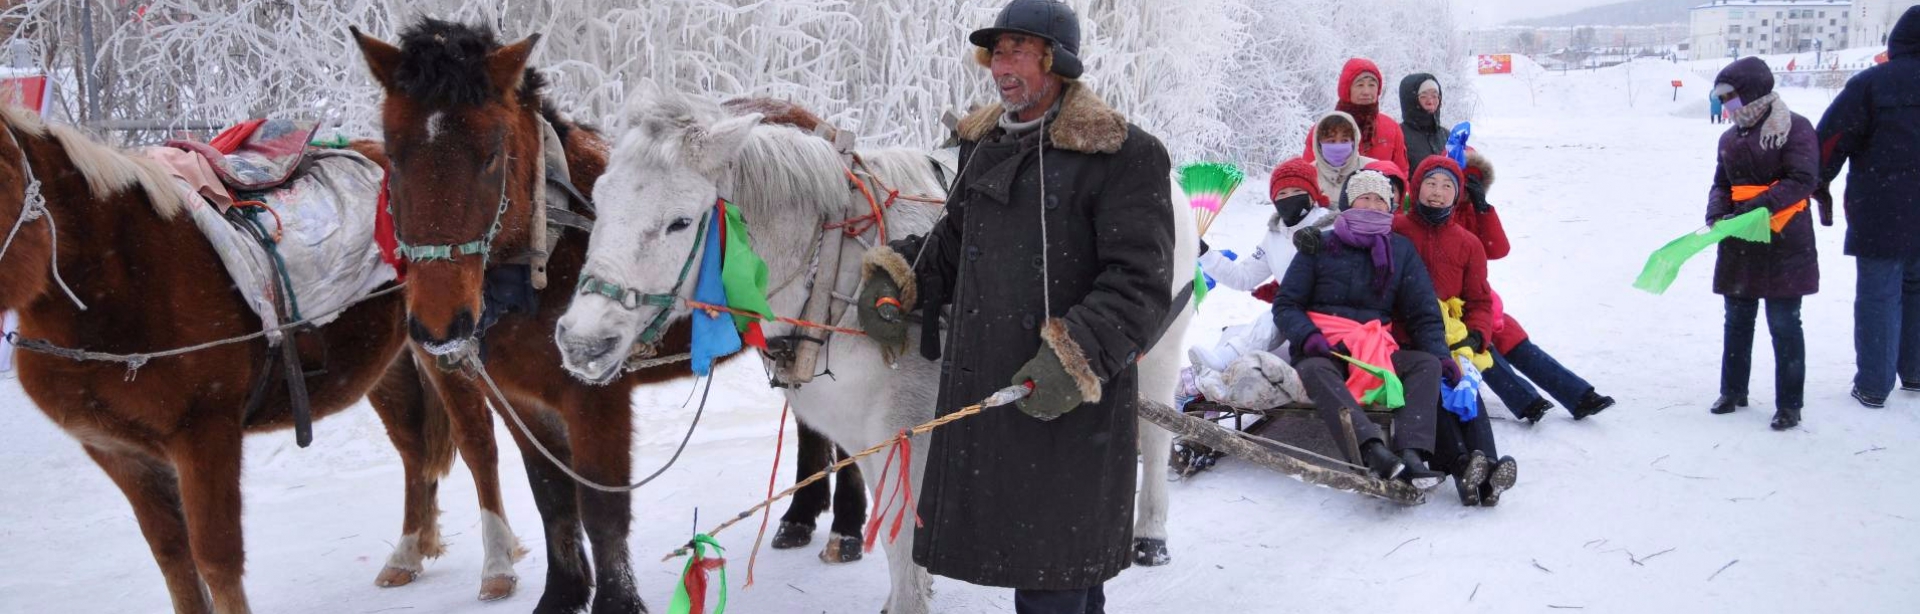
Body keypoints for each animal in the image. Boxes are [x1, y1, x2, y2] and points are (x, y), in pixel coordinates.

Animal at [0, 105, 503, 610]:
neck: (125, 276)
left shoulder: (205, 433)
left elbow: (216, 557)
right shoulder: (119, 453)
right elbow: (173, 559)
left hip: (442, 342)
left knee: (477, 441)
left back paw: (498, 568)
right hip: (385, 363)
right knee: (413, 446)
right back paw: (407, 553)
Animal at [349, 20, 710, 614]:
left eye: (491, 154)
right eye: (393, 154)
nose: (439, 324)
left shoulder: (596, 398)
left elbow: (602, 509)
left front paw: (616, 602)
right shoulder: (518, 399)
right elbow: (552, 498)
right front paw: (563, 593)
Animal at [549, 87, 1190, 614]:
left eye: (681, 222)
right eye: (598, 199)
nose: (581, 339)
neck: (835, 272)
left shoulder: (908, 433)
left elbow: (904, 542)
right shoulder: (867, 434)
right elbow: (895, 536)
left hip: (1156, 351)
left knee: (1155, 434)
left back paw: (1151, 535)